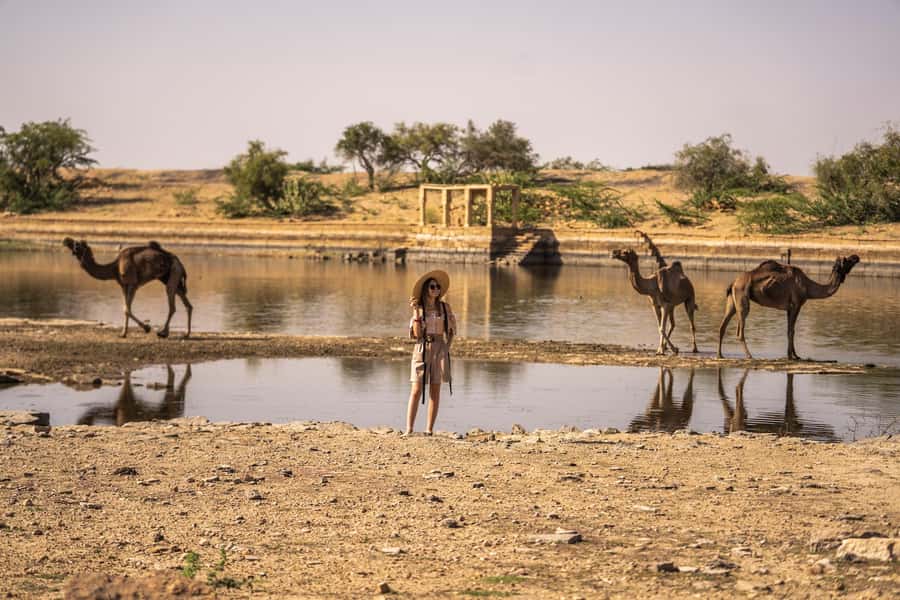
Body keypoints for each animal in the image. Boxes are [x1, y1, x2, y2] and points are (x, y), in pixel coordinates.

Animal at [62, 238, 192, 338]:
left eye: (77, 244)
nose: (65, 240)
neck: (114, 268)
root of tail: (180, 264)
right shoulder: (123, 285)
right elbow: (125, 309)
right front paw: (123, 333)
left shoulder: (132, 284)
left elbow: (127, 309)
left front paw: (147, 328)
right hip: (171, 278)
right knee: (187, 304)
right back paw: (186, 334)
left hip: (174, 272)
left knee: (172, 305)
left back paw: (163, 333)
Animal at [716, 255, 859, 360]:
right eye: (847, 260)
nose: (856, 257)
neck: (808, 287)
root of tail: (733, 282)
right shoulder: (796, 305)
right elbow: (792, 331)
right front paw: (791, 356)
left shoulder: (789, 308)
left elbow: (790, 330)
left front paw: (795, 355)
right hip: (742, 297)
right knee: (740, 330)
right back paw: (749, 356)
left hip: (732, 300)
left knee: (722, 325)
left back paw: (720, 355)